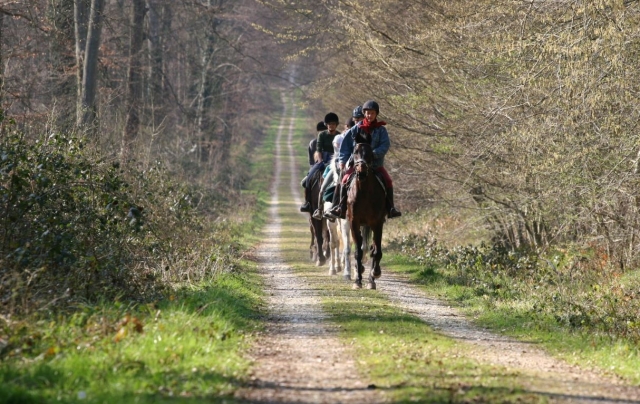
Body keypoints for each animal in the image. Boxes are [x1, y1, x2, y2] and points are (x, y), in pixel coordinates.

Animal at [347, 143, 387, 289]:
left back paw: (372, 277)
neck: (364, 191)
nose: (361, 170)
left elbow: (376, 252)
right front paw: (357, 281)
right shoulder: (354, 223)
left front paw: (374, 275)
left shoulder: (377, 223)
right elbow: (358, 252)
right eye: (355, 152)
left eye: (370, 152)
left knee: (373, 249)